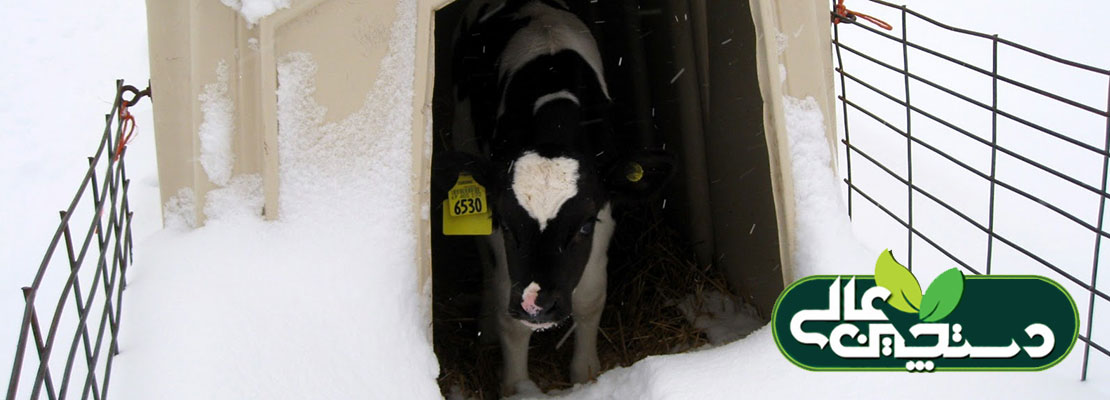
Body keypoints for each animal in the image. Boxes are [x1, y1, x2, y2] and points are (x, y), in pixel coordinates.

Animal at [439, 0, 666, 393]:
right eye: (509, 227)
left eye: (583, 228)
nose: (538, 304)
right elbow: (509, 312)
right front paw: (517, 387)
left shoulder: (603, 206)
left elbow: (590, 296)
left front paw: (585, 372)